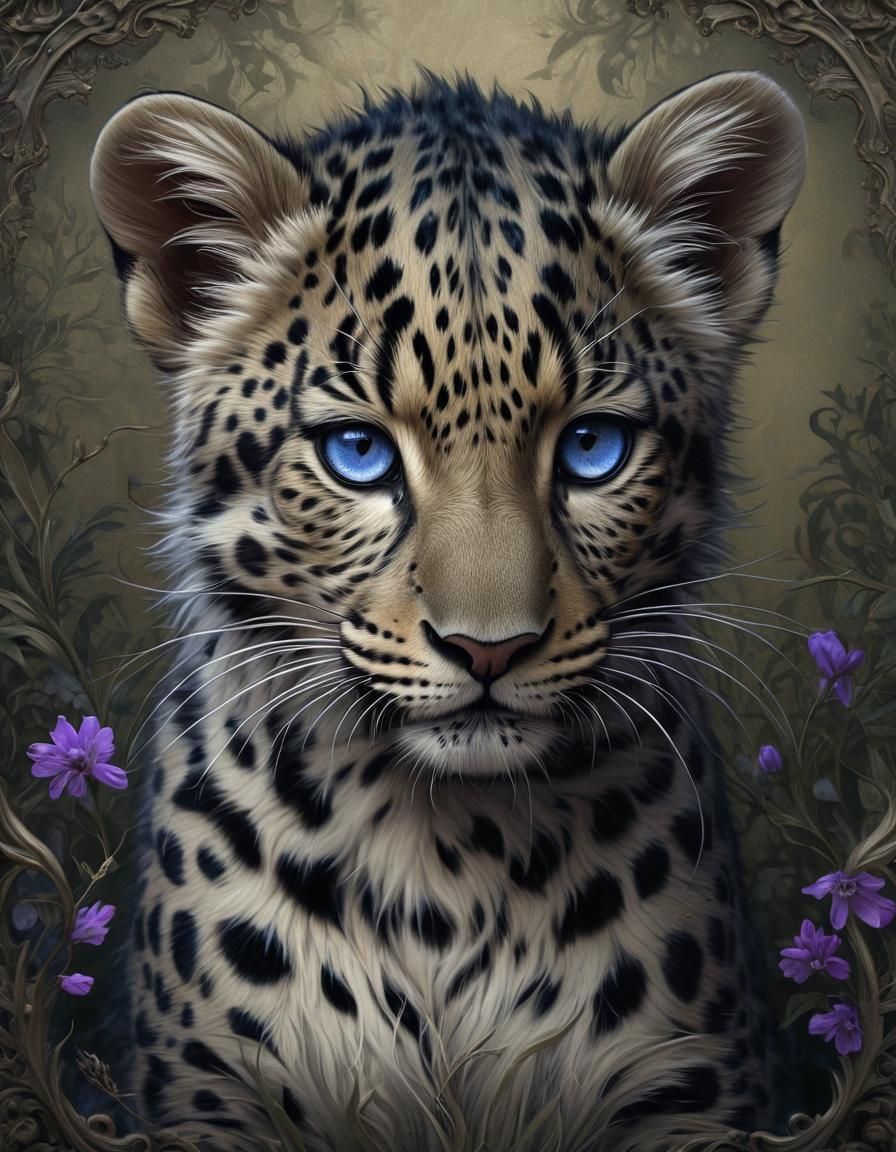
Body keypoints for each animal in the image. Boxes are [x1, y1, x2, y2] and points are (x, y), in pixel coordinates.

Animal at [90, 70, 806, 1152]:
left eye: (592, 447)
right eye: (357, 453)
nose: (488, 651)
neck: (447, 865)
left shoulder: (682, 1092)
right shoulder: (216, 1094)